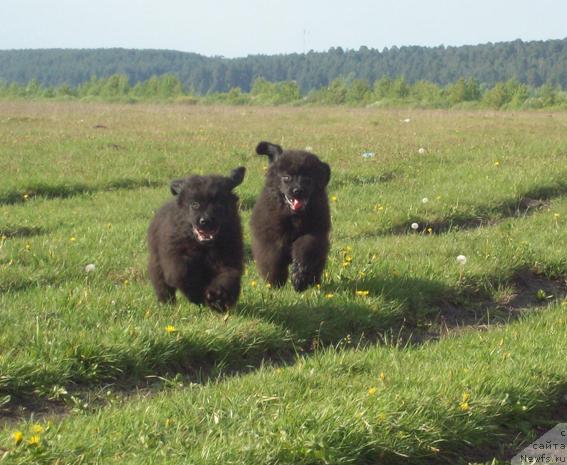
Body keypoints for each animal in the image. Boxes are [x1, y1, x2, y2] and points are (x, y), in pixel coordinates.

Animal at [148, 165, 245, 310]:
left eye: (218, 203)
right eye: (195, 204)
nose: (205, 221)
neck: (204, 247)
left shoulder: (229, 258)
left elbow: (226, 276)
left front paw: (218, 298)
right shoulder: (176, 257)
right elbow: (184, 275)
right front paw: (197, 295)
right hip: (156, 261)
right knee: (162, 285)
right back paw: (166, 304)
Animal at [251, 140, 330, 290]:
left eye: (308, 179)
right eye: (286, 178)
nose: (297, 190)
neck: (293, 216)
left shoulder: (315, 233)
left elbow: (305, 250)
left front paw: (299, 279)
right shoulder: (270, 237)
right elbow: (273, 257)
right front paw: (276, 281)